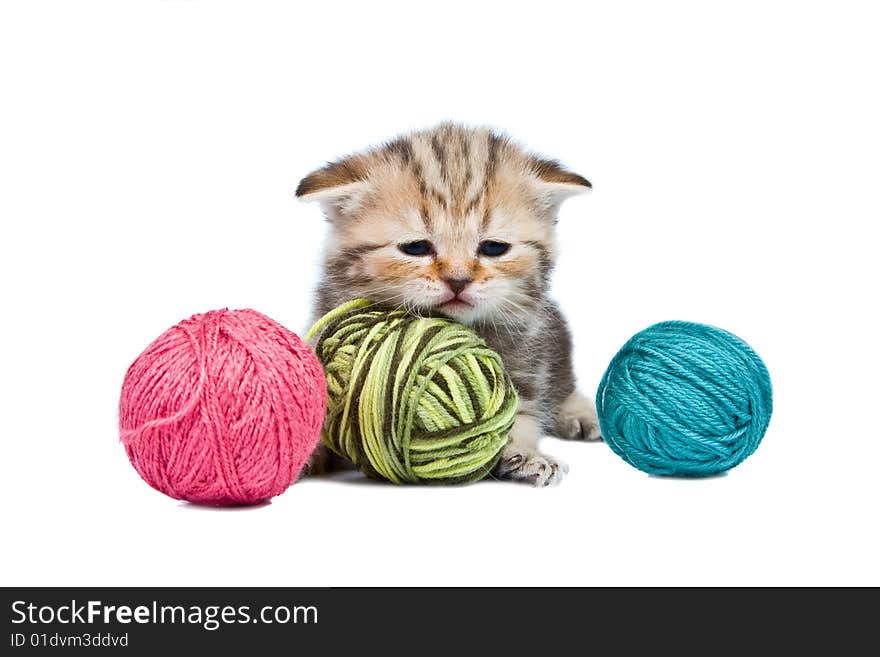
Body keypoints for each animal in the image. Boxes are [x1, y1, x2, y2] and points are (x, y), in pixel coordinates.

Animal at [296, 123, 600, 484]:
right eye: (416, 247)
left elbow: (519, 413)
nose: (458, 280)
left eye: (494, 248)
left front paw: (526, 454)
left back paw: (582, 413)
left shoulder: (529, 354)